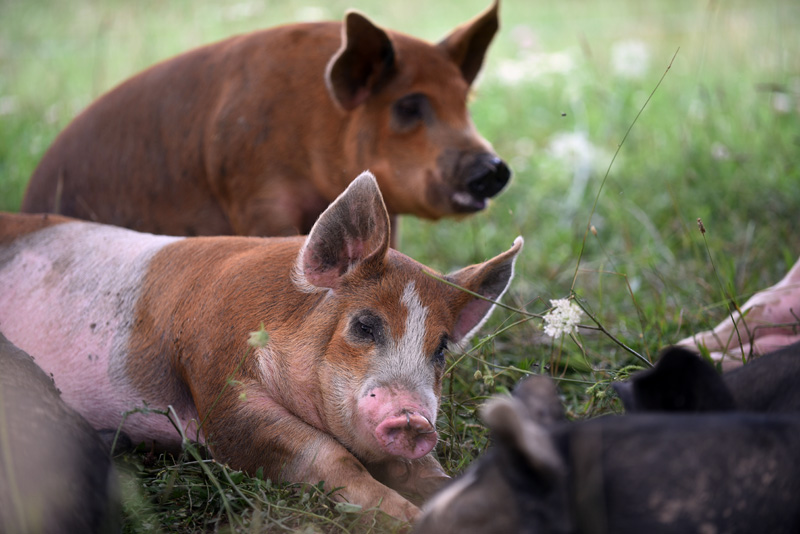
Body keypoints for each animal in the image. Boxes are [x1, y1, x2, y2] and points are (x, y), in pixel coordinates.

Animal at [0, 173, 520, 524]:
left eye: (441, 350)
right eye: (364, 325)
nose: (413, 419)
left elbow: (426, 467)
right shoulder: (216, 381)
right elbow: (324, 455)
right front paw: (411, 521)